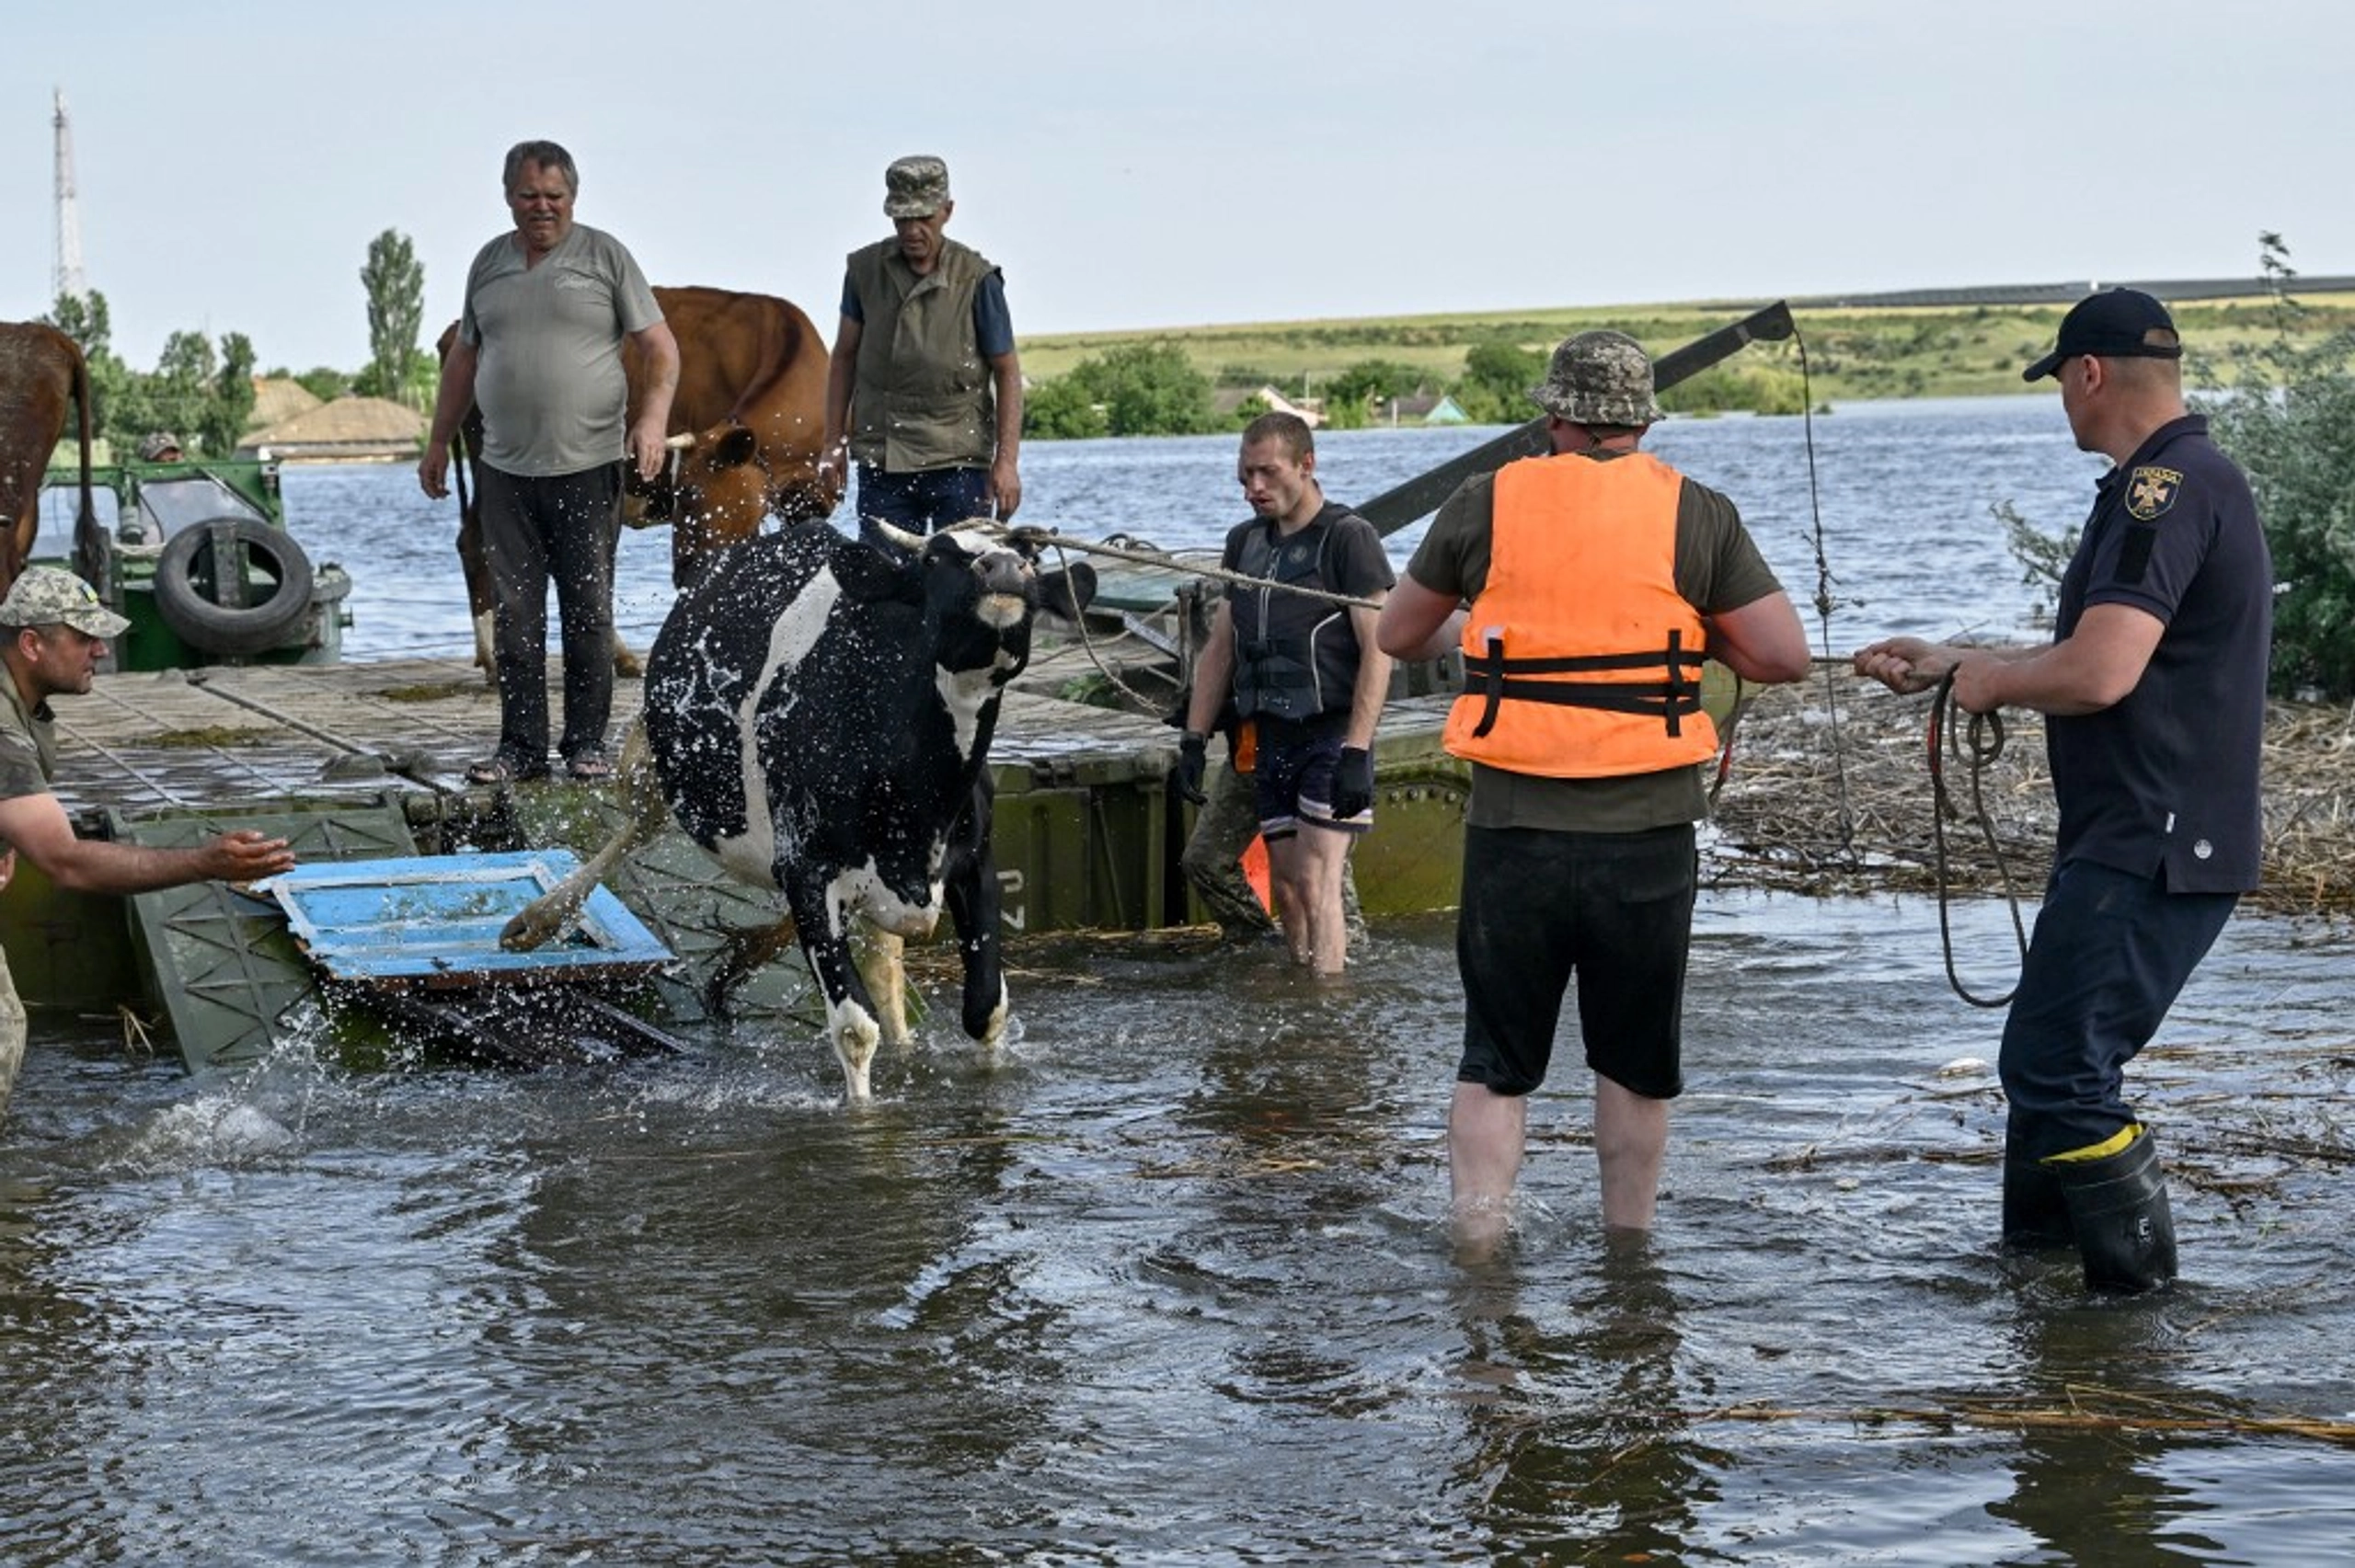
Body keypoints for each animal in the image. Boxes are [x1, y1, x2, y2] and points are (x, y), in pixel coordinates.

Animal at [440, 283, 838, 673]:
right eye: (680, 493)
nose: (684, 572)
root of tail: (454, 332)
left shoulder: (809, 500)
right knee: (479, 543)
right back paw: (500, 658)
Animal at [506, 518, 1092, 1092]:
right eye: (933, 559)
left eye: (1030, 563)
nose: (1003, 567)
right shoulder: (807, 873)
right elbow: (855, 1029)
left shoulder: (975, 863)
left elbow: (985, 1011)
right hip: (653, 765)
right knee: (639, 825)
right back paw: (535, 919)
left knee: (885, 965)